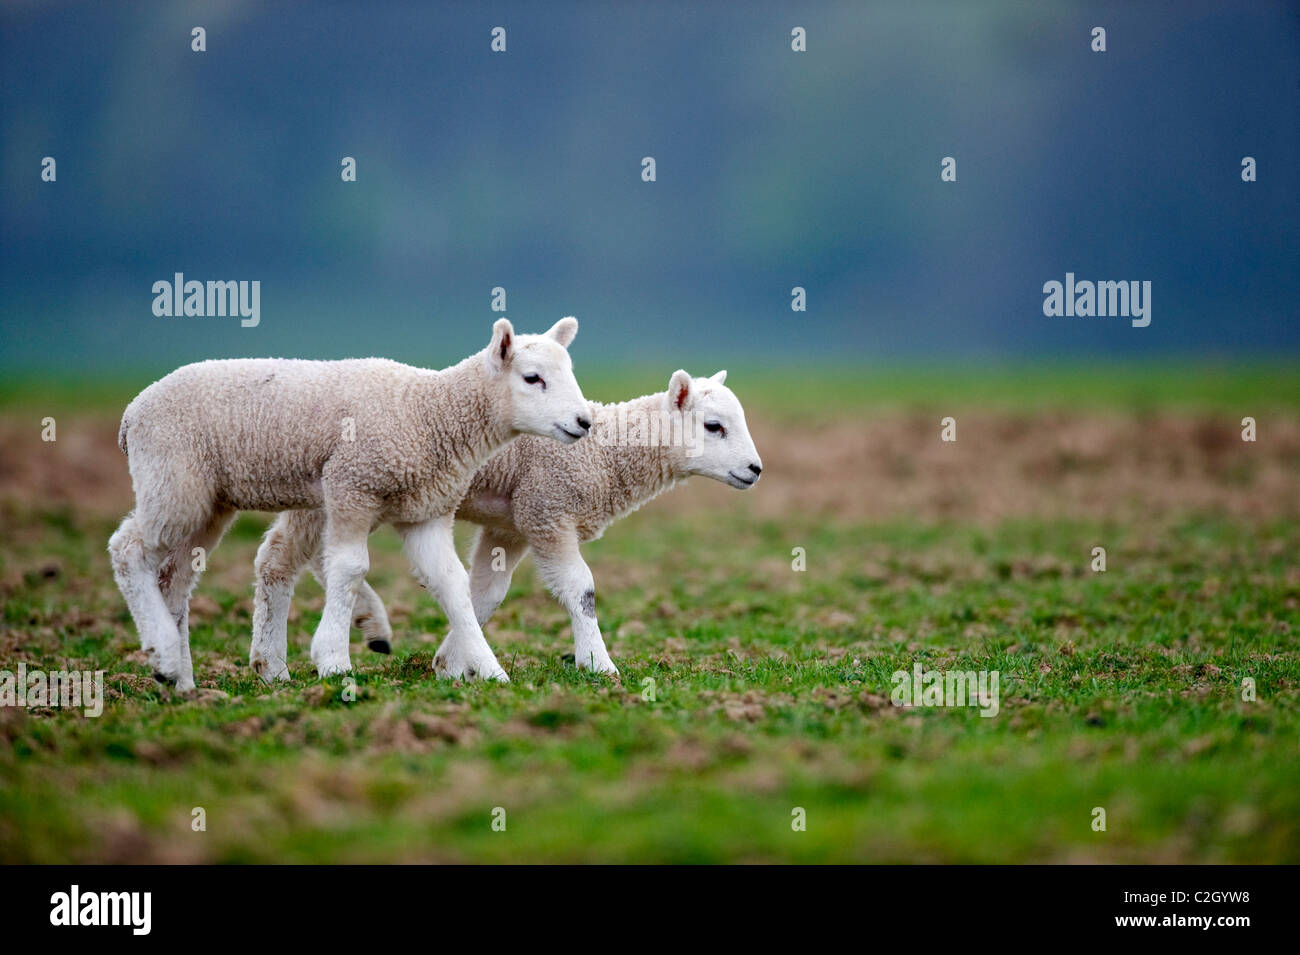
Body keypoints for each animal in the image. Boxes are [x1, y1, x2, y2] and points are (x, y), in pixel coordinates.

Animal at [109, 317, 592, 691]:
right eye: (532, 378)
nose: (584, 421)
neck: (429, 412)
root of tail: (130, 414)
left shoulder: (426, 511)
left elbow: (453, 584)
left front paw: (491, 672)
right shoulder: (351, 486)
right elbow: (350, 568)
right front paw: (334, 661)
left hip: (208, 503)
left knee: (175, 579)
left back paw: (180, 678)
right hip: (173, 481)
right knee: (127, 549)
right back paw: (164, 653)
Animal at [253, 369, 759, 675]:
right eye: (714, 426)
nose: (756, 470)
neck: (606, 453)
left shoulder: (510, 526)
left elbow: (486, 593)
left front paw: (451, 663)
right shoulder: (547, 508)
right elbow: (582, 590)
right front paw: (600, 665)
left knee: (283, 558)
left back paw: (285, 658)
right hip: (354, 486)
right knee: (296, 558)